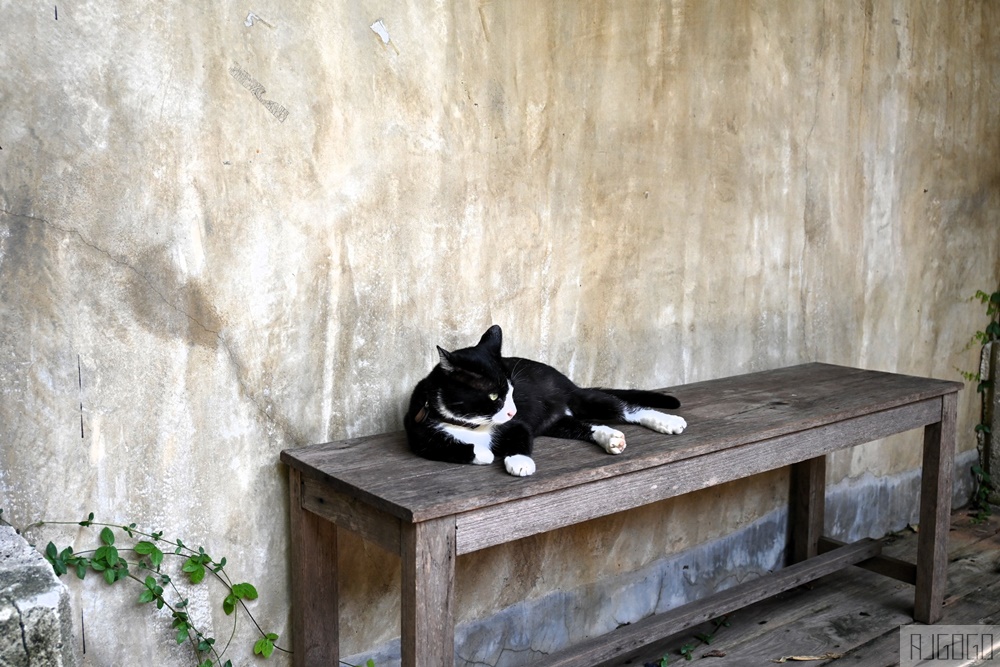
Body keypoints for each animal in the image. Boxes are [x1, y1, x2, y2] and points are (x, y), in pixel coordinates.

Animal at [402, 326, 684, 478]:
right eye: (494, 396)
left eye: (512, 392)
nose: (512, 411)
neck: (472, 425)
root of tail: (567, 383)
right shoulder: (419, 435)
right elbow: (449, 448)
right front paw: (484, 452)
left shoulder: (518, 425)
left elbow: (519, 439)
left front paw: (519, 462)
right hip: (557, 423)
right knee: (585, 426)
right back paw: (611, 438)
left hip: (582, 399)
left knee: (627, 408)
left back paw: (668, 422)